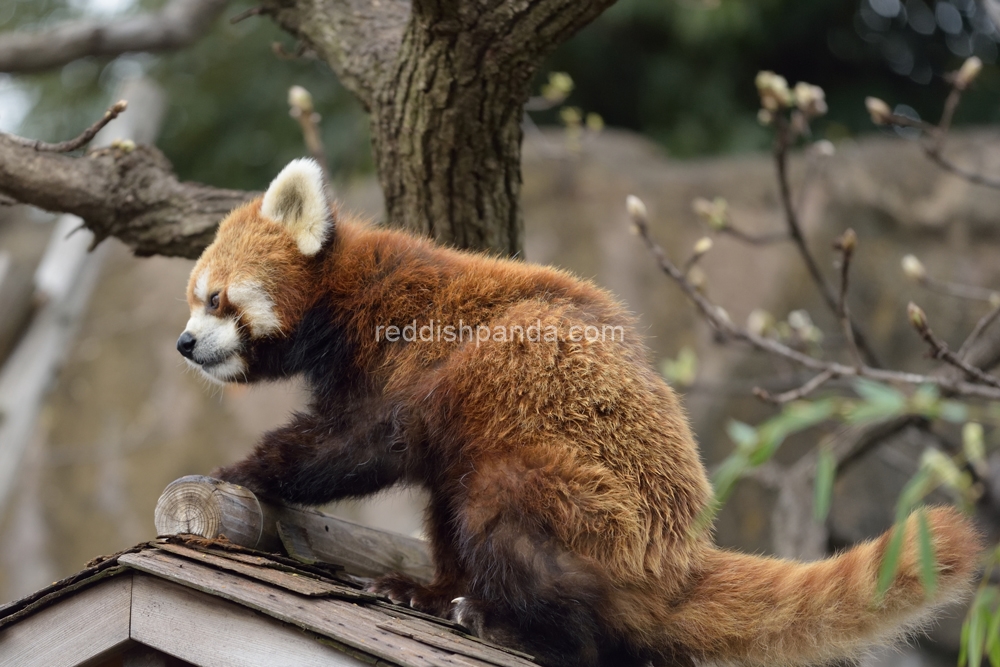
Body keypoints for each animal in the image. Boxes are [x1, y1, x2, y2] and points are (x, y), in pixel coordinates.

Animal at [178, 159, 976, 664]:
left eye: (215, 298)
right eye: (193, 298)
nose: (185, 343)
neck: (351, 295)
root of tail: (681, 556)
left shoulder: (410, 355)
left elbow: (357, 444)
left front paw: (243, 472)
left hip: (579, 499)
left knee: (509, 526)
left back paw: (512, 626)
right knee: (450, 502)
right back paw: (433, 593)